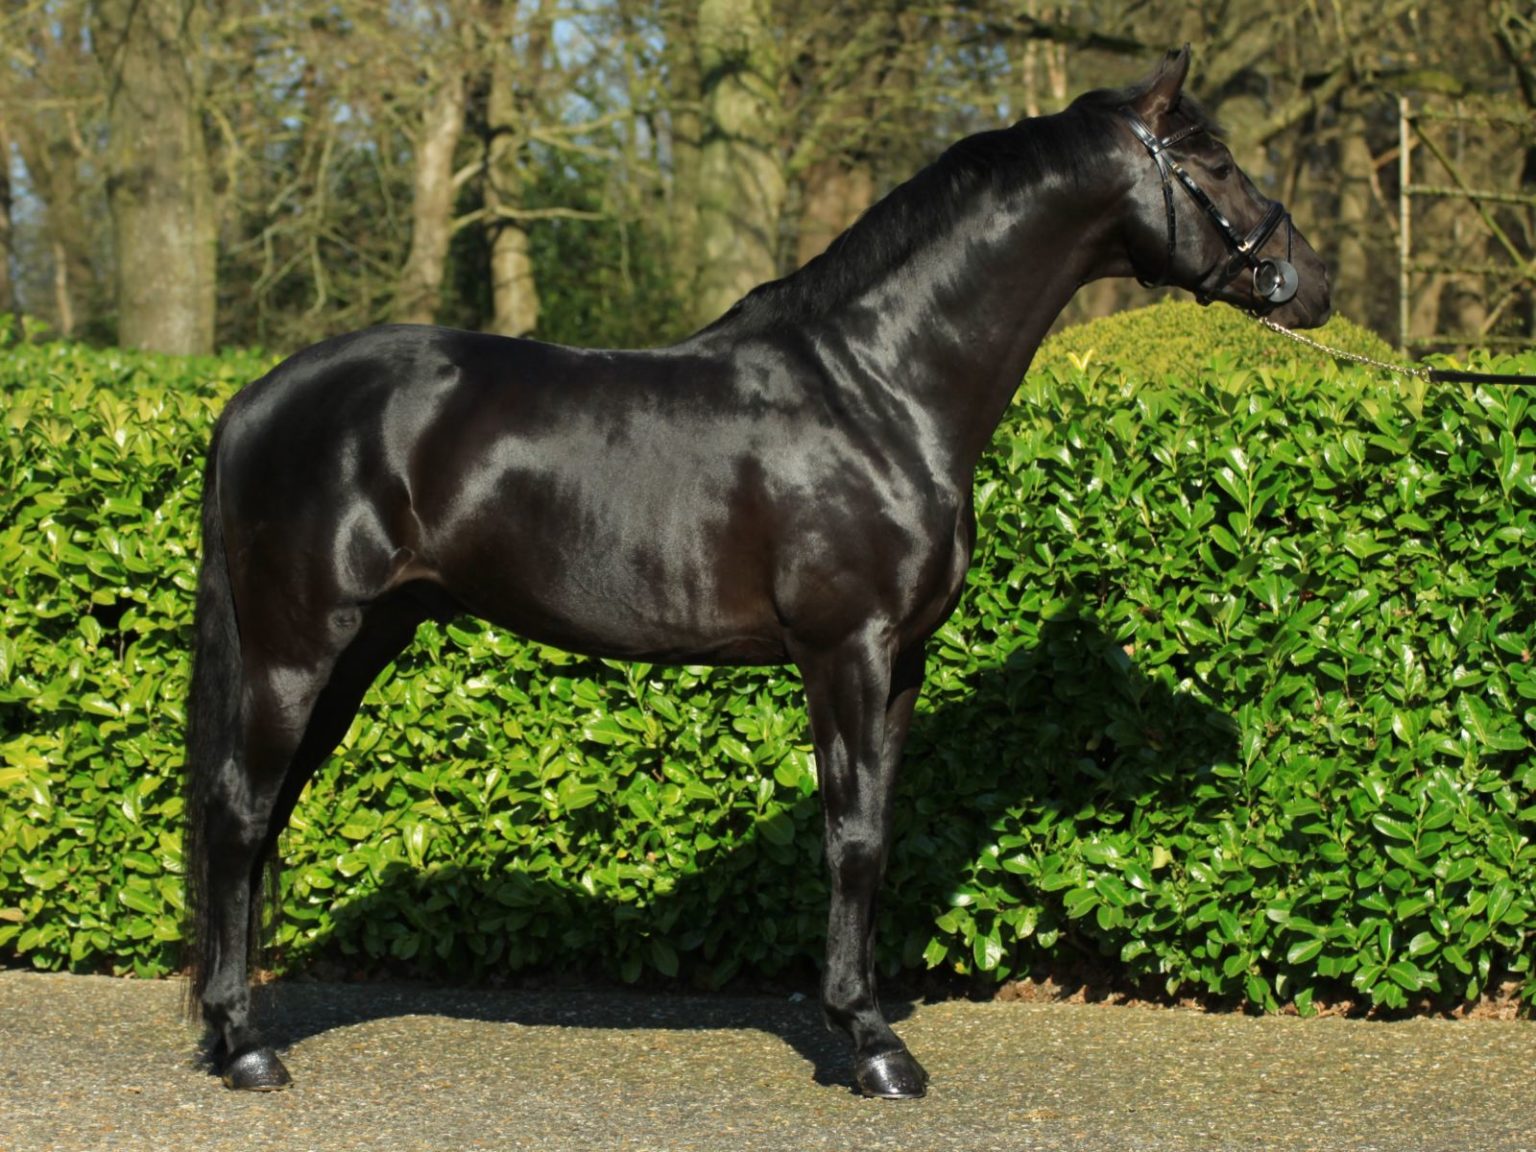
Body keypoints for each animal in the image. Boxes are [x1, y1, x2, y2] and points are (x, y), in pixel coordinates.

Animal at [183, 46, 1330, 1099]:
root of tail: (251, 401)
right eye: (1211, 158)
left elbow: (875, 832)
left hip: (362, 644)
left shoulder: (901, 662)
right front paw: (871, 1045)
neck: (880, 389)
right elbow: (852, 837)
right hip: (300, 648)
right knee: (239, 813)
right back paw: (244, 1047)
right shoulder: (844, 652)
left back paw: (227, 1027)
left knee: (263, 813)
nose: (1308, 283)